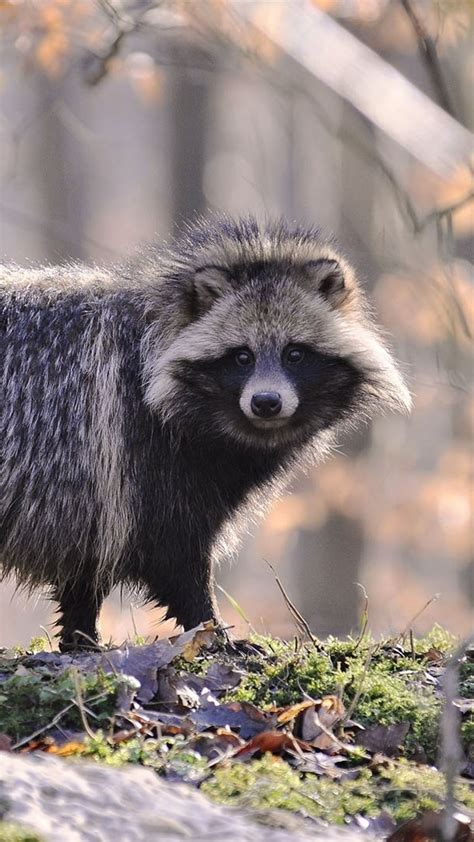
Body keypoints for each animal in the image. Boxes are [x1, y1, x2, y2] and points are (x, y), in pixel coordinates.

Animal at [0, 215, 410, 644]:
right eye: (242, 356)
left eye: (294, 353)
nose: (266, 402)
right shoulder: (134, 456)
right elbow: (173, 553)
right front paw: (210, 626)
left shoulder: (98, 497)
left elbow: (88, 566)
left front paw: (81, 636)